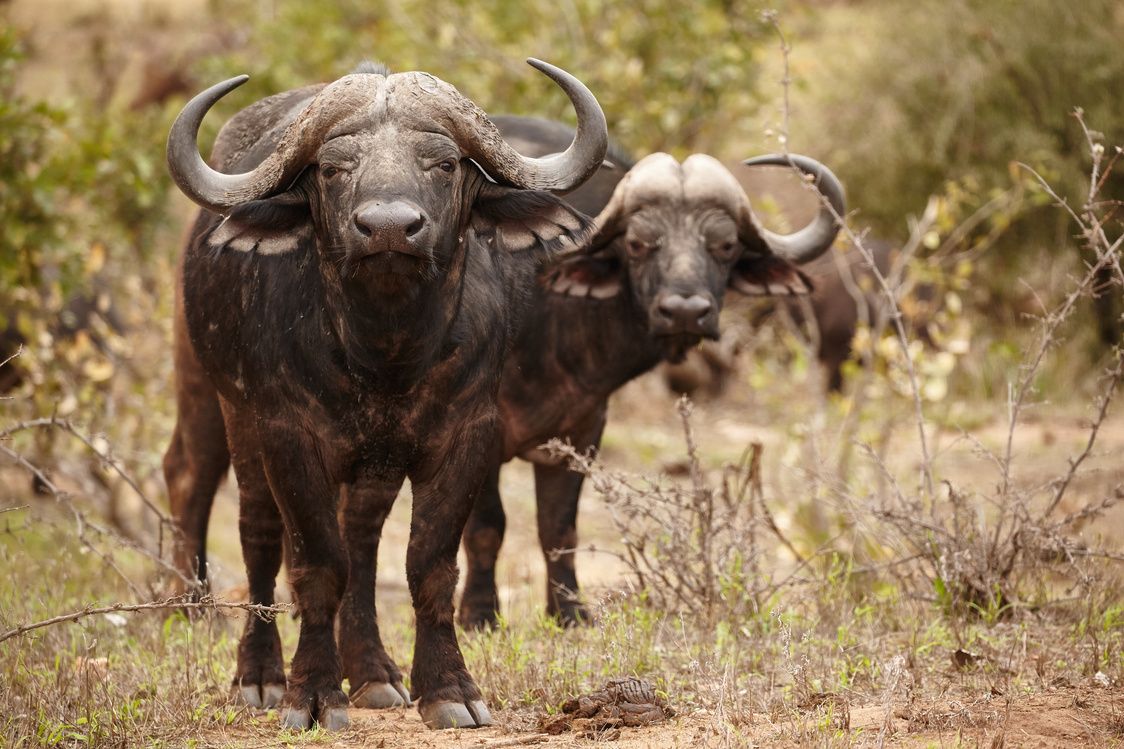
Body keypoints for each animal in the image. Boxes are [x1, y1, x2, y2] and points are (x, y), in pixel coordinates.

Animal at [160, 59, 606, 728]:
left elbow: (428, 564)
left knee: (363, 546)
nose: (389, 228)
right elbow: (317, 564)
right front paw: (313, 693)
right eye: (332, 168)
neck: (385, 354)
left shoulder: (466, 436)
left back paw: (372, 673)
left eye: (443, 164)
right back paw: (258, 674)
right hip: (224, 407)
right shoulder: (289, 437)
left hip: (373, 467)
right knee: (246, 522)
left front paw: (448, 688)